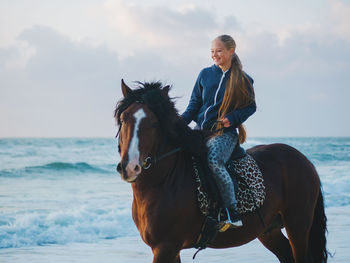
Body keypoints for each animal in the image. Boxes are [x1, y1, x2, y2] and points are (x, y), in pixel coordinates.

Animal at [115, 81, 328, 263]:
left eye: (153, 123)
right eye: (124, 119)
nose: (130, 167)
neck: (165, 180)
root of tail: (304, 160)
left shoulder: (165, 247)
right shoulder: (168, 249)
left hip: (298, 226)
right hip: (269, 230)